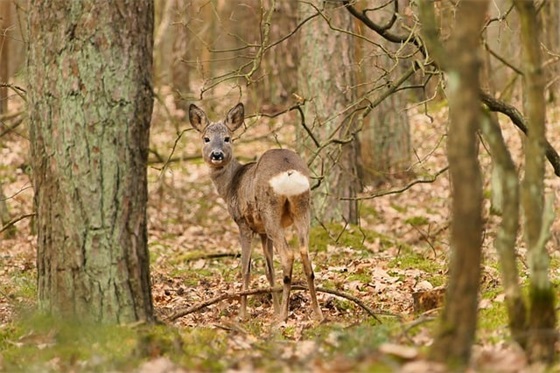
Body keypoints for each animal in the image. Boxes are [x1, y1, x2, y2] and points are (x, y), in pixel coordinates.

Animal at [190, 102, 324, 322]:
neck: (231, 184)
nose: (216, 155)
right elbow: (270, 270)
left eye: (227, 138)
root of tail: (289, 172)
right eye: (206, 138)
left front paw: (242, 315)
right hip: (302, 208)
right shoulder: (262, 231)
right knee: (305, 253)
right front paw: (274, 309)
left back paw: (283, 317)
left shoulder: (244, 223)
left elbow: (246, 268)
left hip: (271, 212)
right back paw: (317, 314)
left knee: (288, 255)